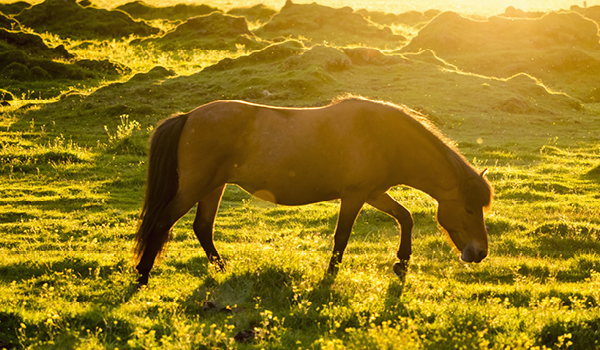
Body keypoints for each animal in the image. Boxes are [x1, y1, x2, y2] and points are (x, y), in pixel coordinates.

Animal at [134, 95, 494, 284]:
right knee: (163, 221)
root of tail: (188, 116)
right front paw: (330, 276)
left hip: (213, 187)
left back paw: (223, 270)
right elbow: (342, 236)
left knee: (202, 227)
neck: (383, 136)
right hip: (195, 187)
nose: (479, 253)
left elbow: (405, 217)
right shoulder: (355, 195)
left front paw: (402, 263)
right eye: (468, 207)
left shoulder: (374, 193)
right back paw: (142, 274)